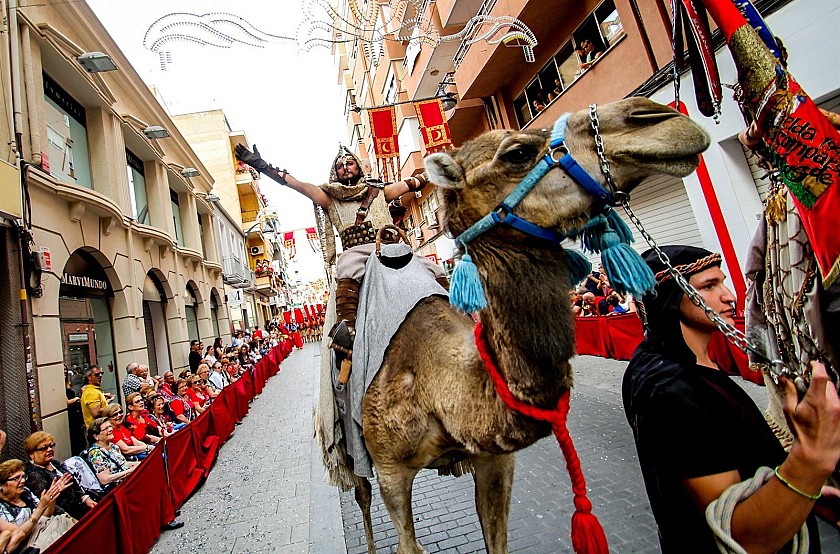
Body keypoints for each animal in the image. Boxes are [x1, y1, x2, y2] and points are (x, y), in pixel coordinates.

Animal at [332, 96, 712, 552]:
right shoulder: (391, 470)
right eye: (516, 153)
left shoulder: (495, 459)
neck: (438, 382)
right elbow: (406, 540)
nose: (656, 115)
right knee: (361, 496)